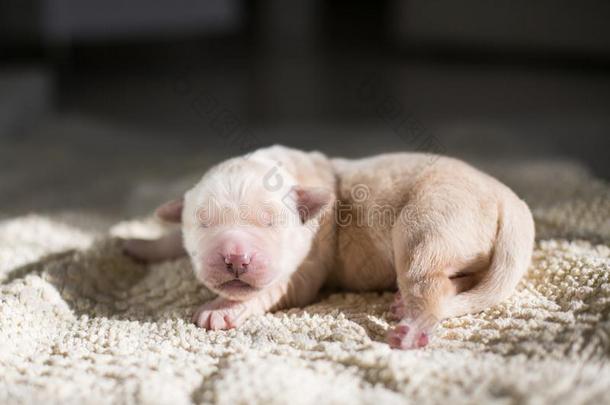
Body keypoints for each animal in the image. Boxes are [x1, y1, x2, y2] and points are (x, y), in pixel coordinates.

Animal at [124, 145, 532, 348]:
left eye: (270, 222)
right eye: (203, 223)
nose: (236, 258)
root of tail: (510, 198)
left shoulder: (304, 269)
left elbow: (268, 289)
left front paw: (223, 309)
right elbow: (169, 239)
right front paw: (139, 244)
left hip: (426, 228)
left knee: (430, 285)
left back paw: (412, 326)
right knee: (456, 281)